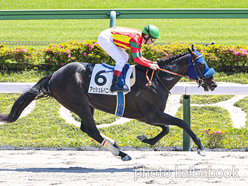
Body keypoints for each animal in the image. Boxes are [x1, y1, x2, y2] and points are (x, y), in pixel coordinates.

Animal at [0, 46, 217, 160]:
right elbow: (181, 123)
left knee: (87, 129)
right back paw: (120, 153)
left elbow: (166, 129)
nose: (213, 83)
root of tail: (53, 75)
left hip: (86, 105)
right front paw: (200, 146)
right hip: (78, 103)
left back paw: (114, 144)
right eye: (201, 63)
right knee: (92, 130)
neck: (156, 79)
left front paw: (145, 139)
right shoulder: (150, 114)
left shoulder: (148, 115)